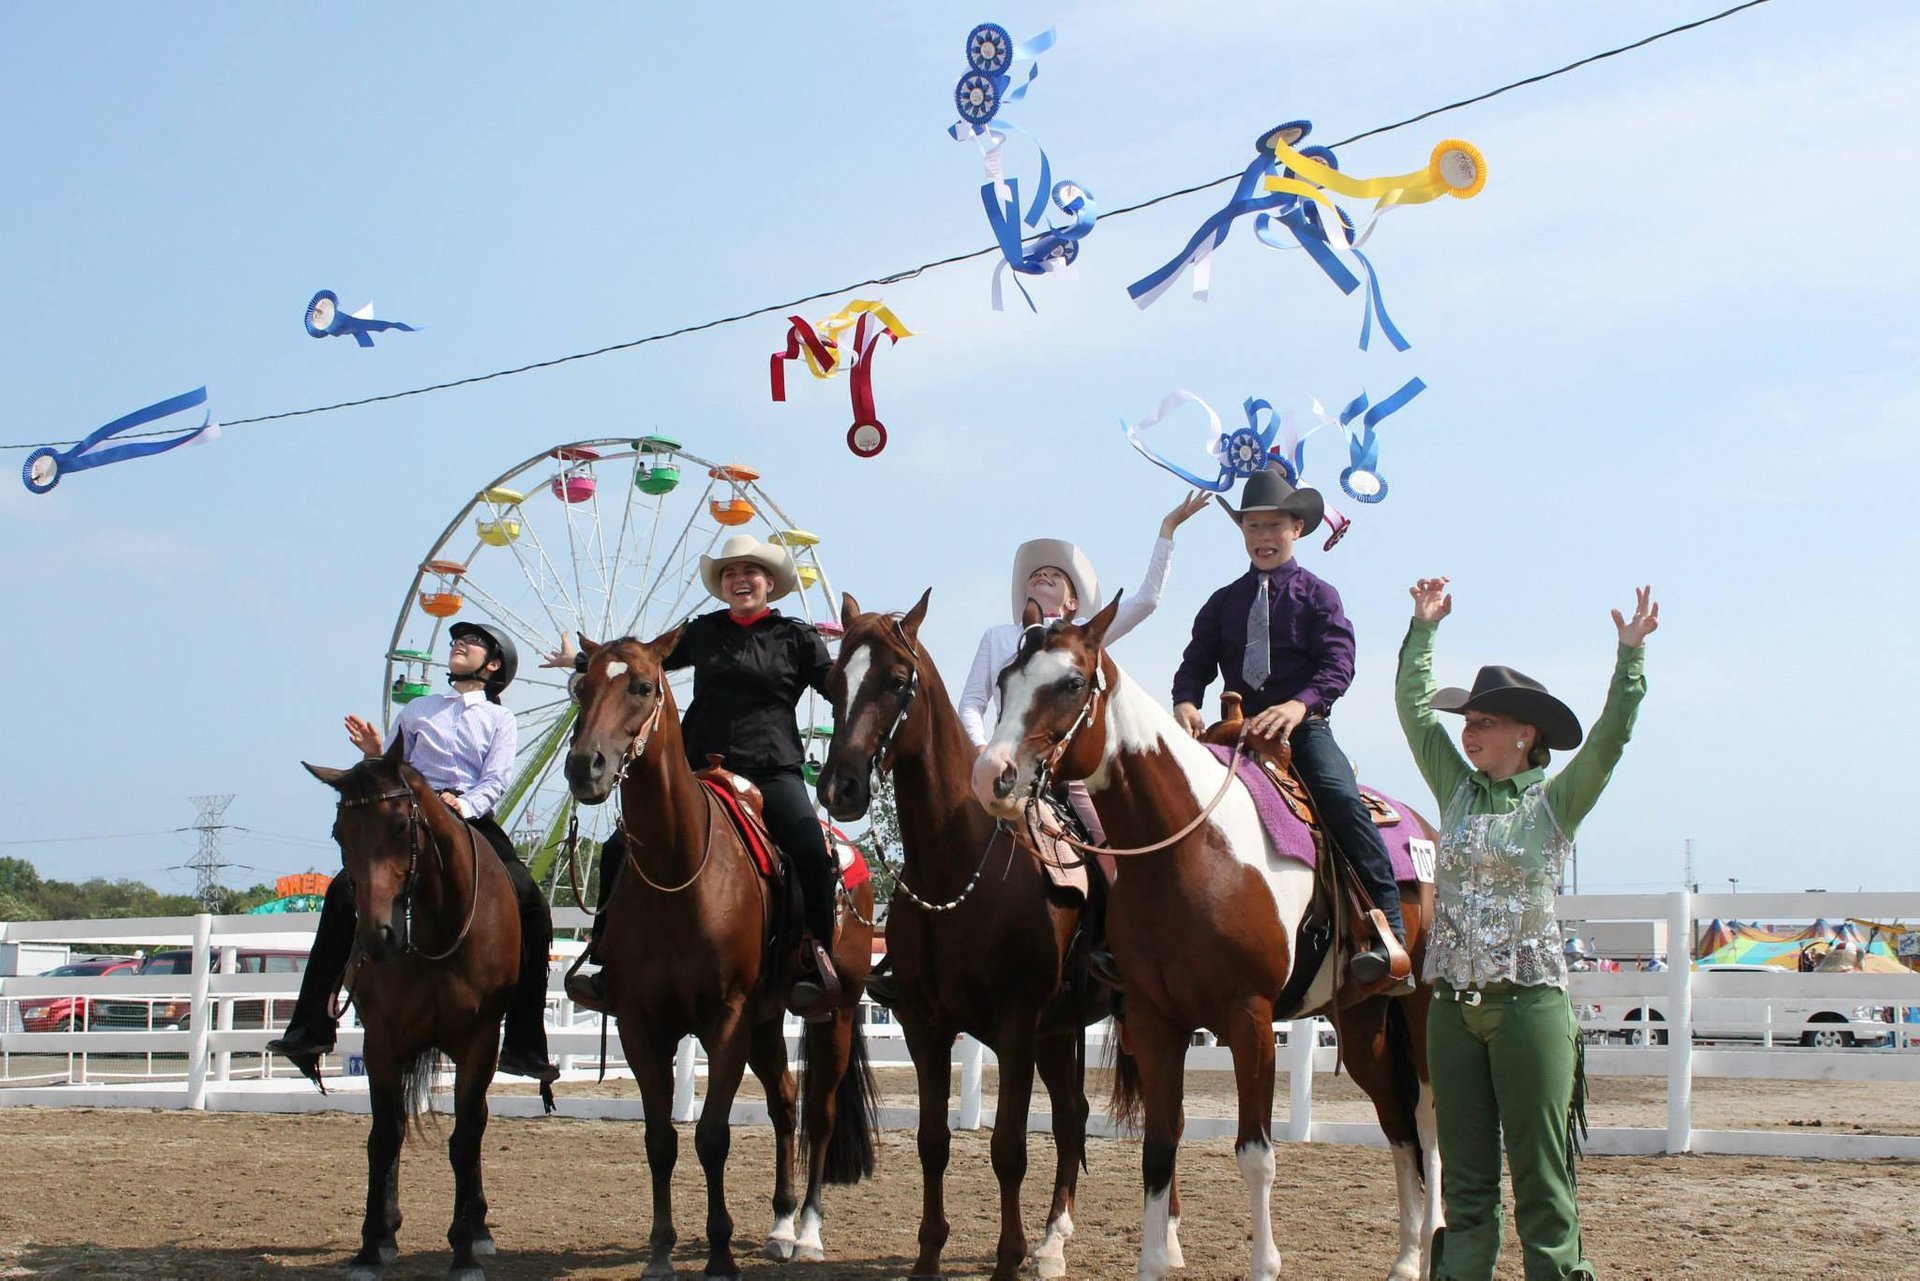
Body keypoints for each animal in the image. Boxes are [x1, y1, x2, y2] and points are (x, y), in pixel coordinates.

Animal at [303, 741, 526, 1281]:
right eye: (340, 832)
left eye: (402, 826)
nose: (377, 937)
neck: (437, 926)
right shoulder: (382, 1042)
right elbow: (385, 1136)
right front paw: (371, 1246)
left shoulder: (479, 1043)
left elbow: (465, 1139)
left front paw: (464, 1252)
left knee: (477, 1125)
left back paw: (478, 1228)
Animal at [560, 629, 879, 1281]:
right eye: (581, 685)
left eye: (643, 686)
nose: (585, 767)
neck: (678, 868)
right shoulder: (639, 1022)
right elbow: (661, 1138)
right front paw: (661, 1253)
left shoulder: (725, 1020)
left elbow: (712, 1136)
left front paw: (720, 1255)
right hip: (766, 1022)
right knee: (785, 1104)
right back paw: (780, 1225)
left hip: (832, 1011)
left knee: (821, 1113)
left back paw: (808, 1232)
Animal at [814, 595, 1113, 1281]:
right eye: (833, 681)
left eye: (897, 681)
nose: (840, 787)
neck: (957, 868)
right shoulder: (926, 1026)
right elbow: (933, 1143)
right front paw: (929, 1254)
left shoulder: (1016, 1027)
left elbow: (1007, 1149)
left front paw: (1007, 1258)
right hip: (1059, 1033)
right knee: (1072, 1118)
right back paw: (1053, 1239)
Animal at [975, 603, 1443, 1281]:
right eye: (1006, 680)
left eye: (1069, 683)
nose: (992, 777)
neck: (1190, 848)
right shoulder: (1155, 1020)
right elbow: (1158, 1147)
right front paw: (1152, 1263)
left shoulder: (1250, 1020)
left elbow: (1256, 1154)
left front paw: (1264, 1265)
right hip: (1362, 1019)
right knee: (1395, 1117)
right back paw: (1406, 1257)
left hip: (1423, 1004)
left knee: (1427, 1114)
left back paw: (1430, 1238)